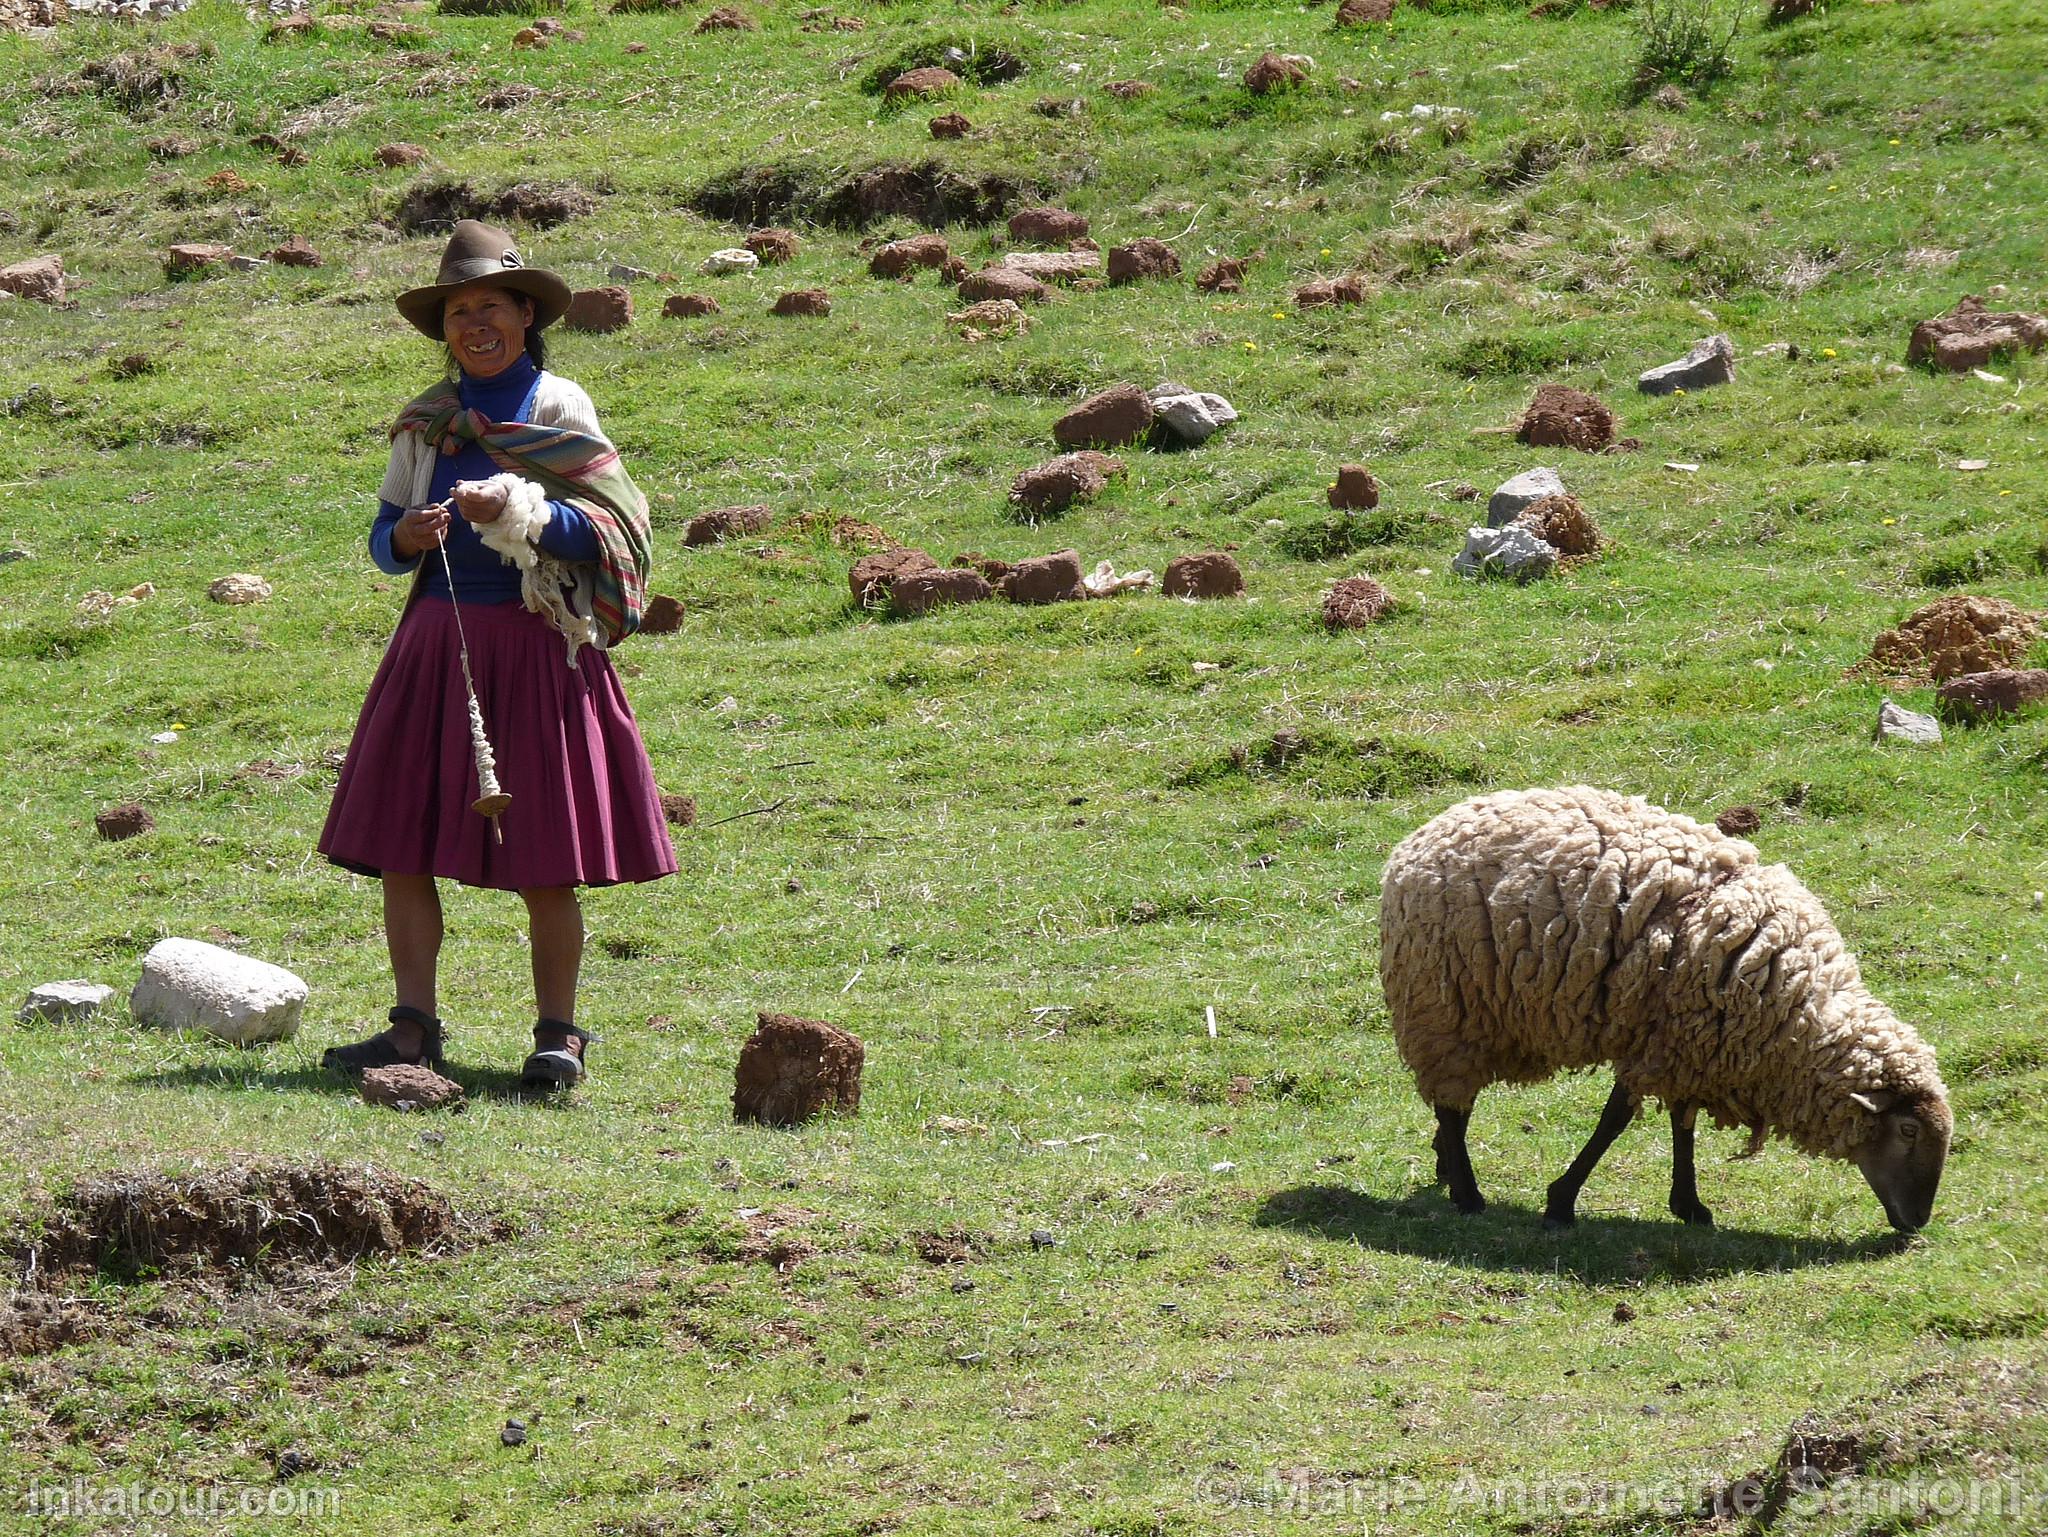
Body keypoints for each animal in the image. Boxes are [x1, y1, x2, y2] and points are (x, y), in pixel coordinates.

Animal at [1376, 786, 1949, 1237]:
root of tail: (1422, 836)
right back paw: (1467, 1193)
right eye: (1908, 1131)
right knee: (1452, 1105)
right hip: (1444, 1009)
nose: (1917, 1223)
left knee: (1453, 1105)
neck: (1795, 1009)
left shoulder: (1689, 1041)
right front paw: (1562, 1201)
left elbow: (1682, 1121)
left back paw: (1446, 1168)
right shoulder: (1663, 1039)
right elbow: (1616, 1121)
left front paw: (1689, 1204)